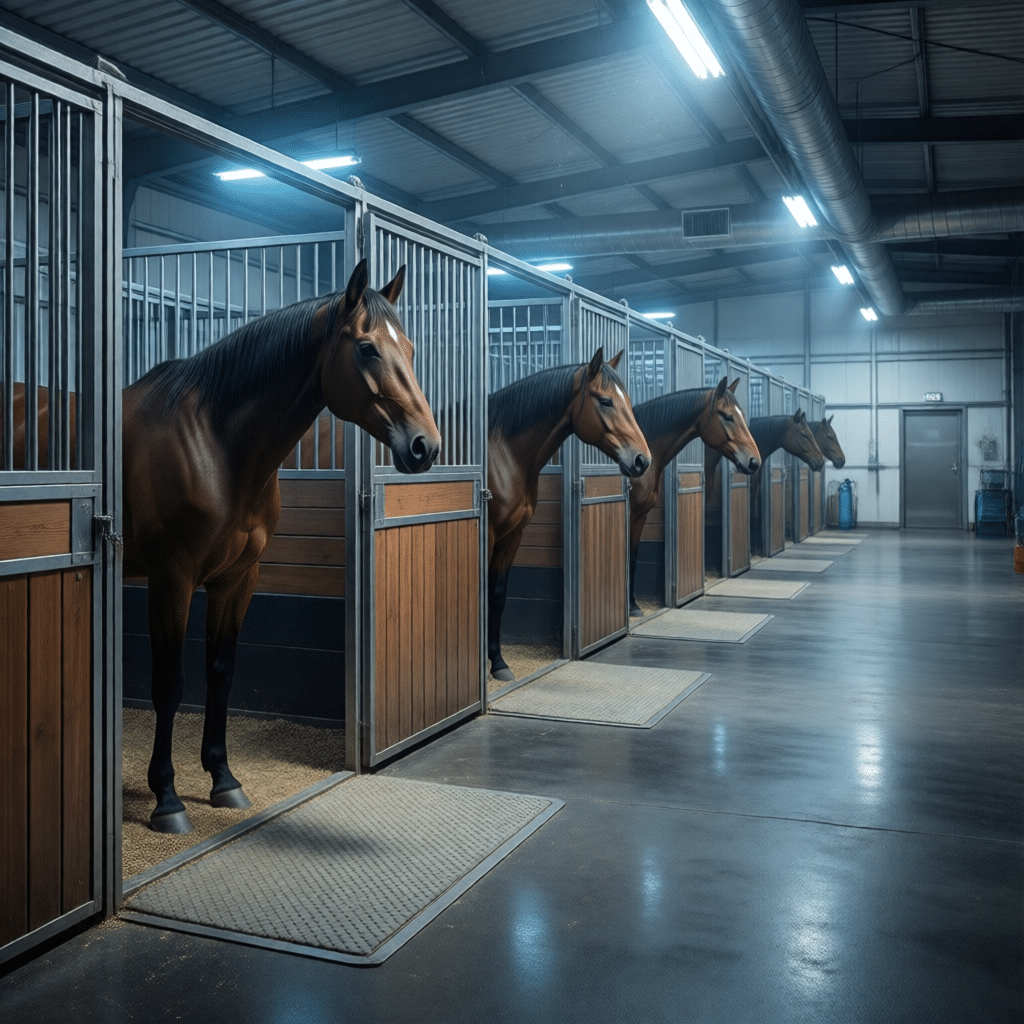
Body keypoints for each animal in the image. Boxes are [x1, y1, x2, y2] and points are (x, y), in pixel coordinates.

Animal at [486, 348, 651, 682]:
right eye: (605, 401)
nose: (643, 459)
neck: (503, 455)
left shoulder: (512, 536)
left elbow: (497, 595)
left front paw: (498, 664)